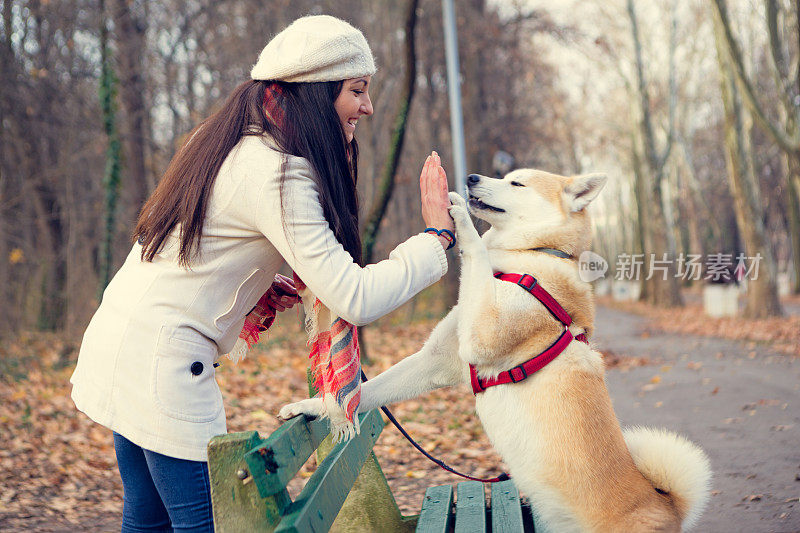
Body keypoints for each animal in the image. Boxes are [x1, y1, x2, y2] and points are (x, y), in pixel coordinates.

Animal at [280, 169, 712, 528]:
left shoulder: (482, 335)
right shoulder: (436, 361)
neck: (527, 257)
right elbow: (368, 391)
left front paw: (460, 215)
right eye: (505, 176)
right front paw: (314, 406)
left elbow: (477, 254)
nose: (471, 176)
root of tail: (665, 506)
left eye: (516, 183)